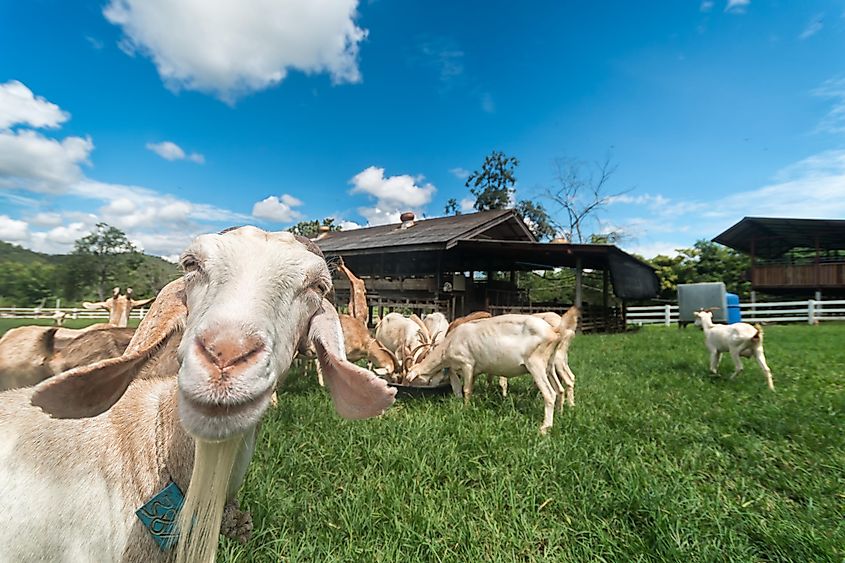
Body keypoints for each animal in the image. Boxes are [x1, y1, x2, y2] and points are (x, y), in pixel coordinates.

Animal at [406, 316, 564, 434]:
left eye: (412, 378)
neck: (451, 342)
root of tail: (553, 331)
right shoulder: (474, 371)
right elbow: (463, 388)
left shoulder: (467, 364)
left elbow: (466, 390)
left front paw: (465, 409)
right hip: (549, 365)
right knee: (559, 389)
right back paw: (560, 414)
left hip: (536, 365)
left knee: (550, 393)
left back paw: (545, 428)